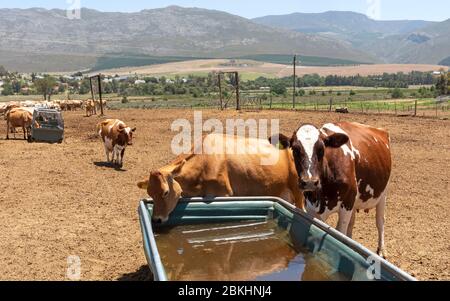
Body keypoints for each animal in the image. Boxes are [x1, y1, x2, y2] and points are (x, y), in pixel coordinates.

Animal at [280, 121, 392, 255]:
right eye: (295, 149)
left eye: (321, 149)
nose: (310, 182)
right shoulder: (311, 206)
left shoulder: (347, 203)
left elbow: (339, 232)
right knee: (352, 223)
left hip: (383, 194)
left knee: (380, 221)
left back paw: (382, 250)